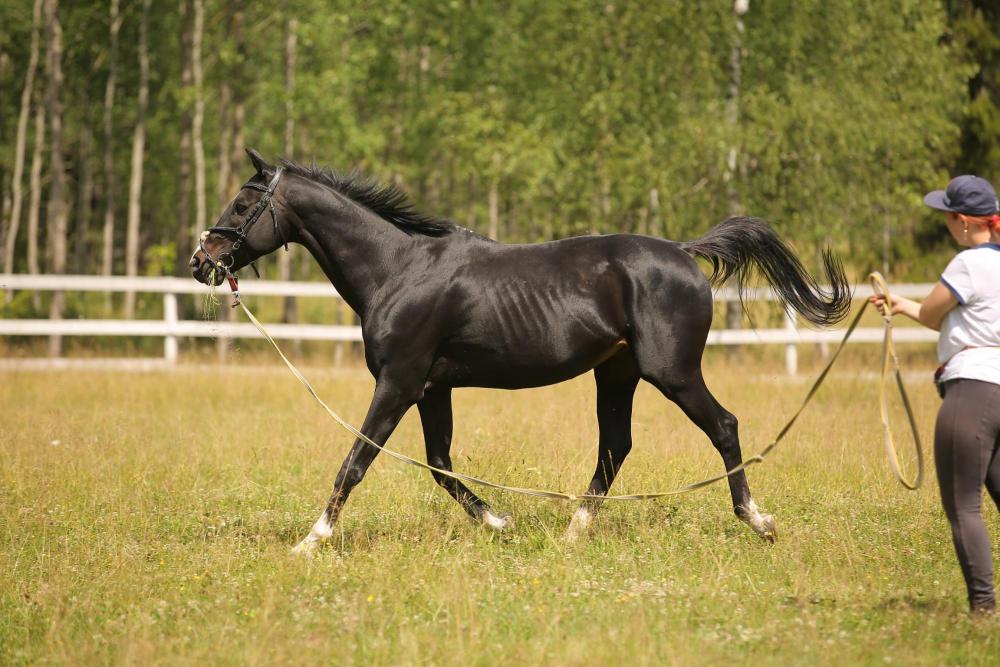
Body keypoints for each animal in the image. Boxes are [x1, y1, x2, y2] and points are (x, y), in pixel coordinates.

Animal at [191, 148, 851, 554]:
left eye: (243, 204)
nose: (202, 261)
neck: (397, 270)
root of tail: (686, 254)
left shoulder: (399, 382)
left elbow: (357, 460)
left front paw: (312, 540)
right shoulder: (431, 388)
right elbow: (440, 464)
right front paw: (501, 523)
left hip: (673, 373)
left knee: (724, 426)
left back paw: (758, 521)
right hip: (617, 374)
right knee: (615, 447)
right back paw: (573, 532)